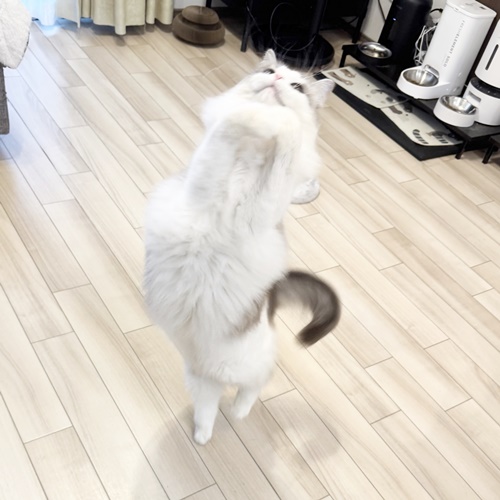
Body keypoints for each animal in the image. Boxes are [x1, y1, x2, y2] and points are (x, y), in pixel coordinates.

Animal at [144, 49, 340, 445]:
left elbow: (286, 134)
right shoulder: (204, 177)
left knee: (253, 387)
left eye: (297, 86)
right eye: (269, 70)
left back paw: (238, 413)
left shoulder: (259, 211)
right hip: (201, 377)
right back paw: (203, 437)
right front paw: (259, 115)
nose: (276, 81)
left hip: (251, 367)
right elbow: (232, 120)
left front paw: (276, 120)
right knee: (209, 407)